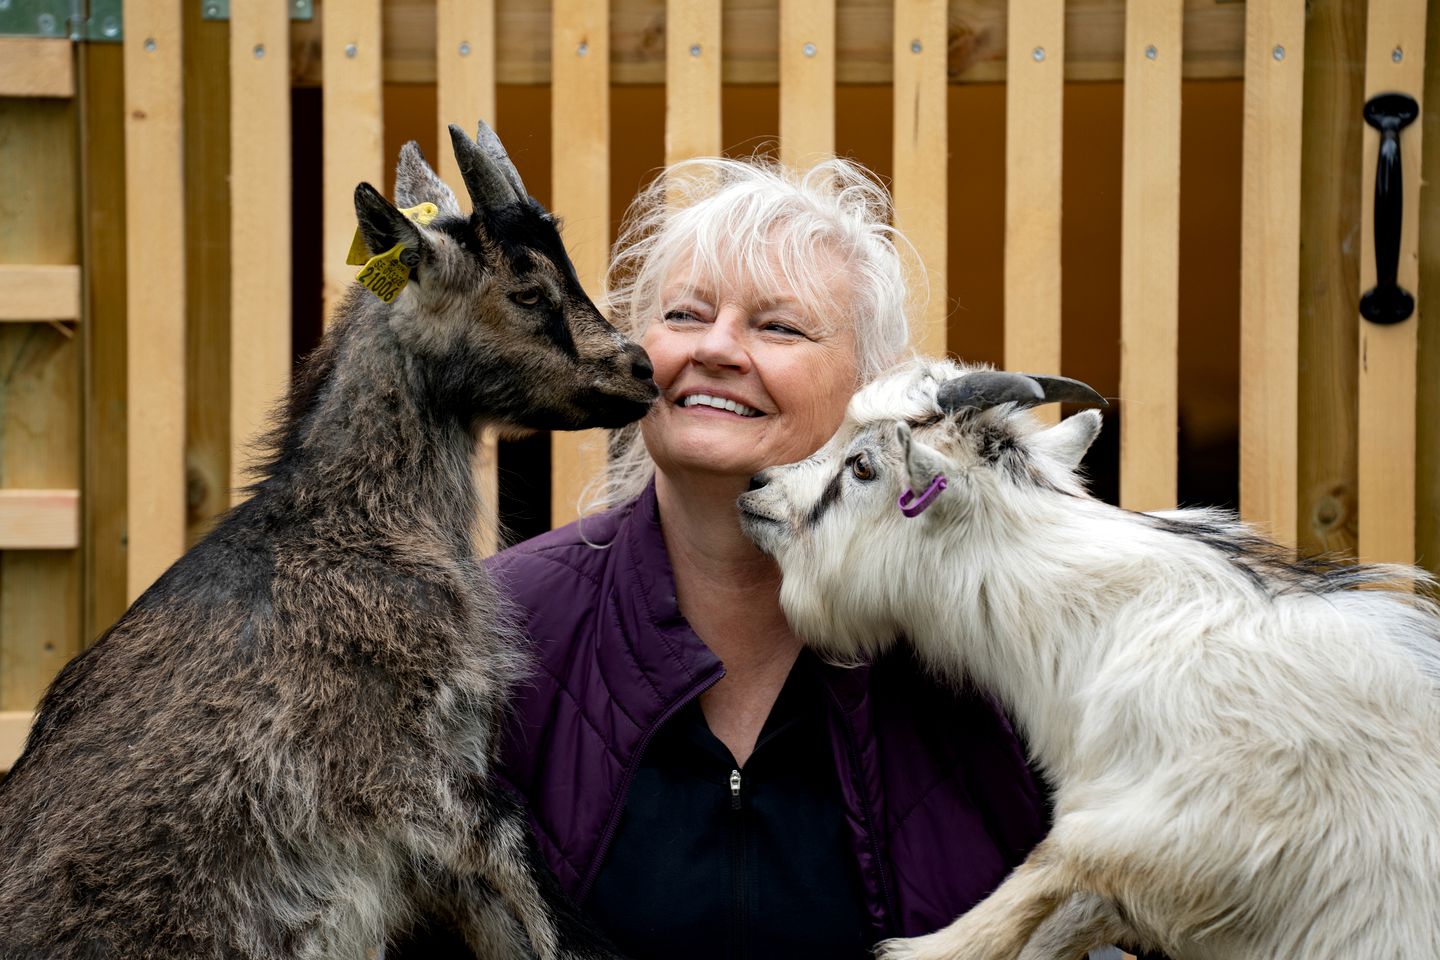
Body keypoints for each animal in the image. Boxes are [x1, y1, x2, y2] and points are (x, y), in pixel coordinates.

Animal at [737, 358, 1440, 960]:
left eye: (861, 467)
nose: (757, 487)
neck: (1113, 628)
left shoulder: (1210, 818)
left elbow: (1058, 859)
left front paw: (923, 949)